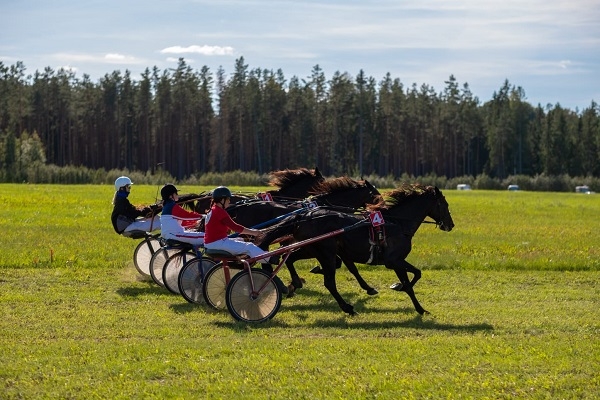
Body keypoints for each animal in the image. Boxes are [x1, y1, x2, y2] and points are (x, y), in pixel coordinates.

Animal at [258, 184, 454, 316]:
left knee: (289, 258)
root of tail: (305, 215)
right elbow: (413, 278)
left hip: (310, 248)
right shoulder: (394, 261)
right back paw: (348, 308)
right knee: (329, 282)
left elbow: (415, 275)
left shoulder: (394, 262)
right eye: (445, 205)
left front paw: (398, 288)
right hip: (325, 253)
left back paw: (295, 283)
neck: (397, 223)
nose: (450, 225)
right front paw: (418, 306)